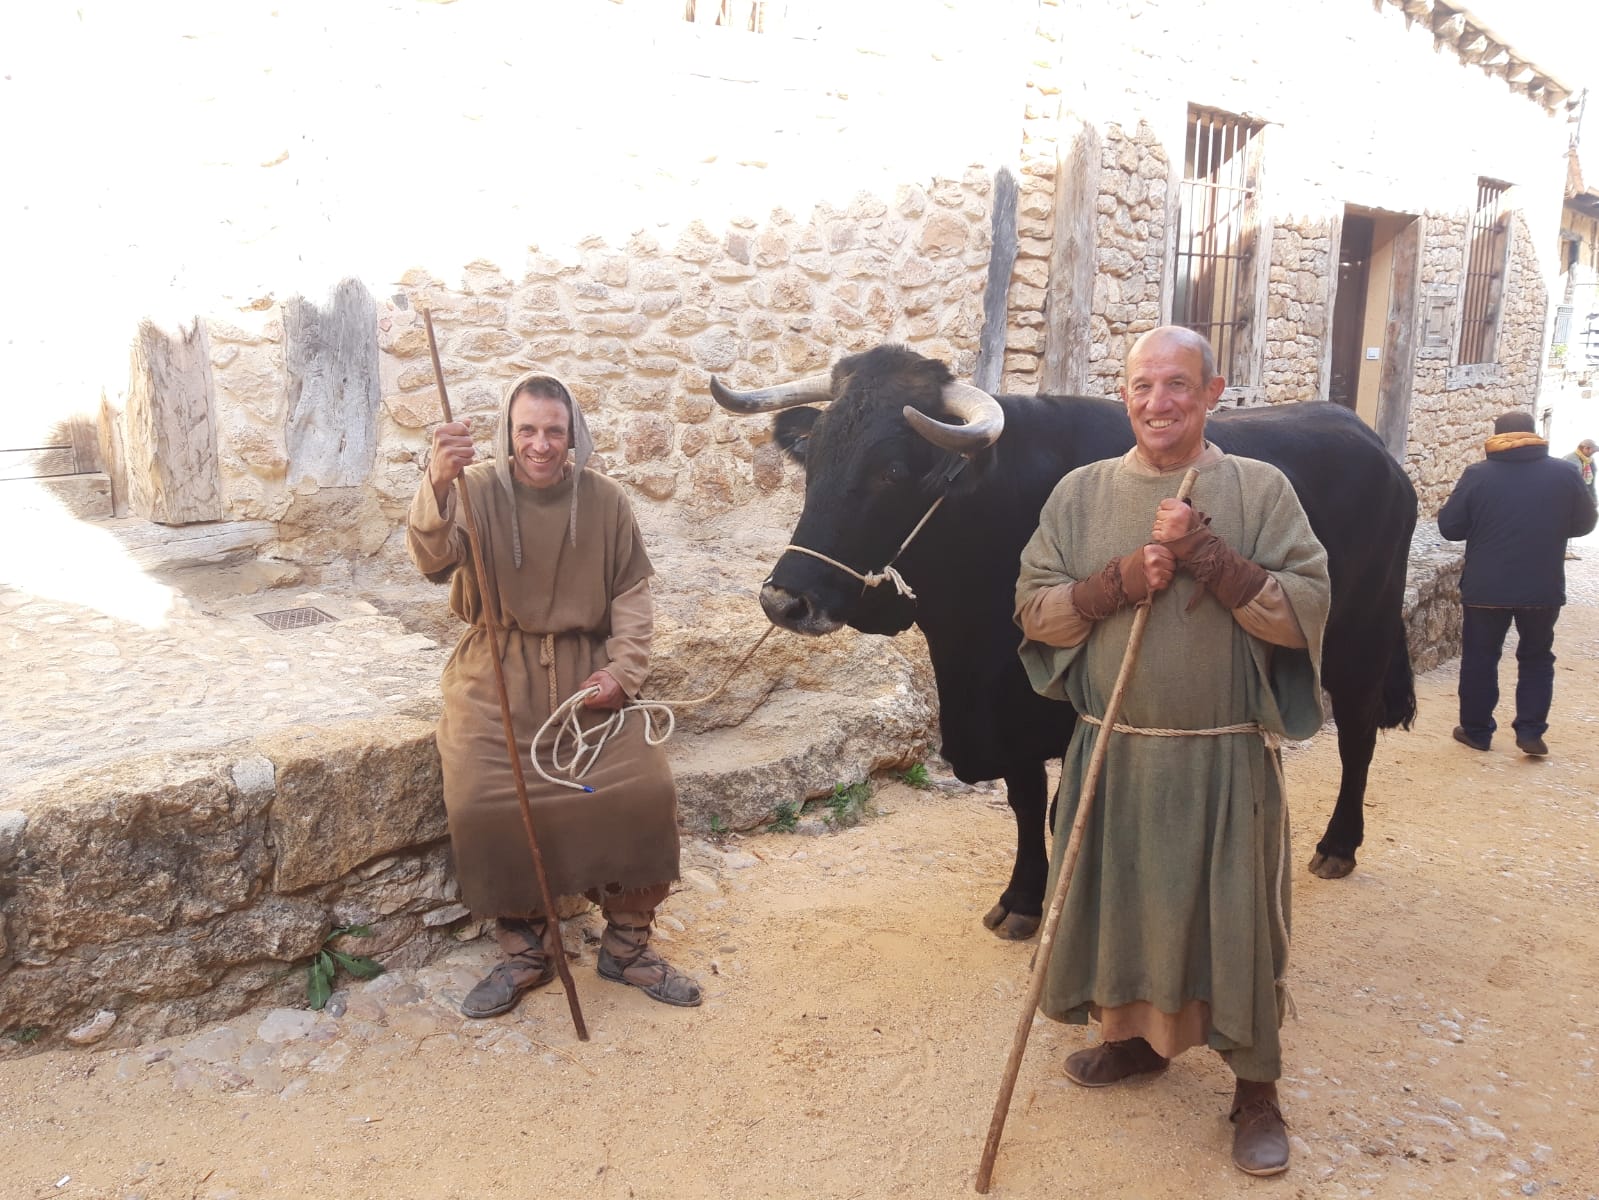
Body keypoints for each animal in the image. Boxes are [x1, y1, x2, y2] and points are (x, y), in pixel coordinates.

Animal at [719, 342, 1419, 947]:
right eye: (815, 458)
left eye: (890, 470)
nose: (784, 601)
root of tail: (1372, 444)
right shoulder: (1006, 717)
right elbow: (1028, 802)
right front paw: (1025, 900)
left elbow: (1062, 804)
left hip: (1361, 639)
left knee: (1358, 736)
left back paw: (1337, 846)